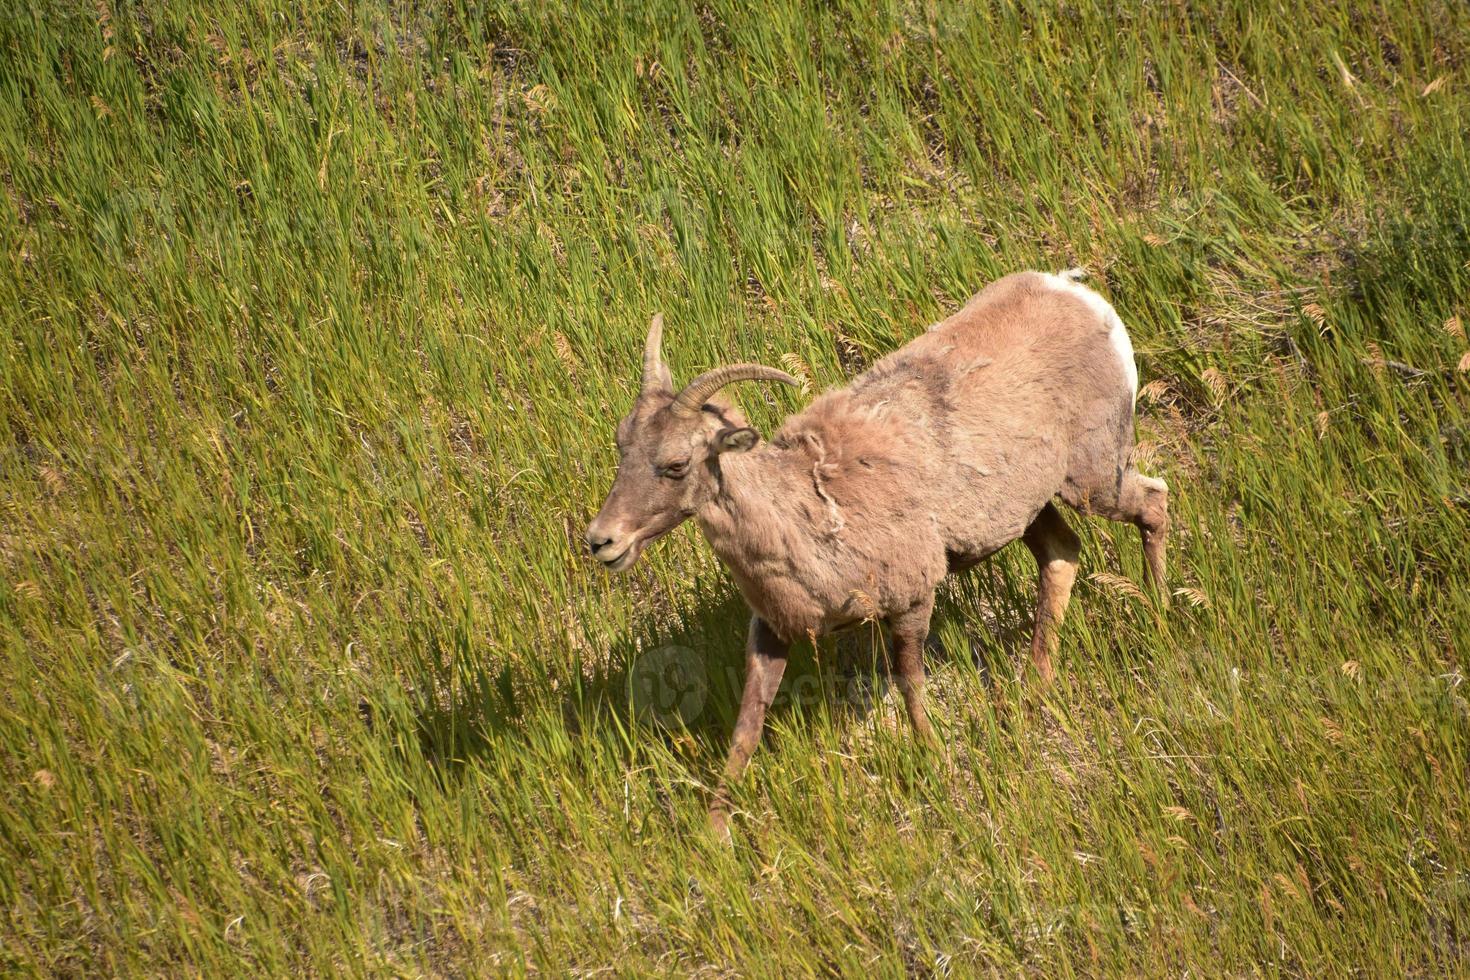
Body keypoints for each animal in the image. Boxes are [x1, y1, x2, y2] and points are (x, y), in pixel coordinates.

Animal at [585, 270, 1170, 834]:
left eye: (677, 464)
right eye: (621, 446)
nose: (602, 541)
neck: (810, 515)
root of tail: (1077, 293)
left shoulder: (911, 600)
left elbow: (910, 684)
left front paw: (937, 764)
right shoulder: (772, 632)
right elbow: (748, 725)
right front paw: (716, 833)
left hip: (1093, 481)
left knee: (1154, 503)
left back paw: (1161, 617)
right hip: (1029, 508)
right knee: (1061, 554)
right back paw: (1035, 688)